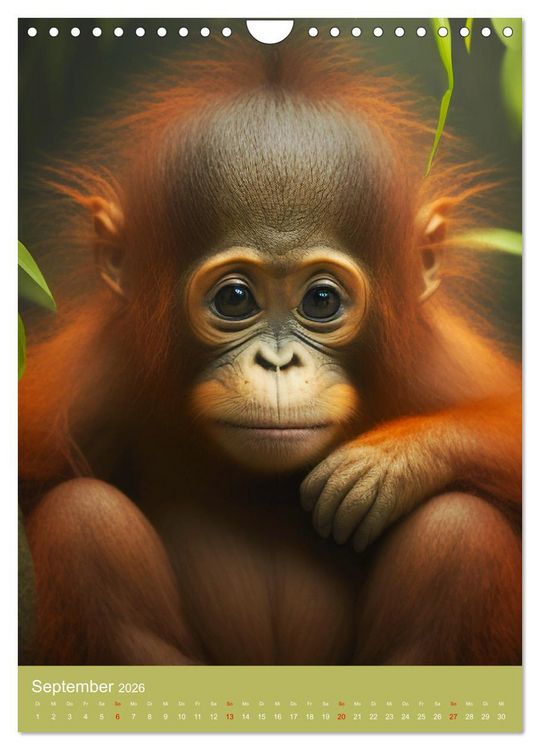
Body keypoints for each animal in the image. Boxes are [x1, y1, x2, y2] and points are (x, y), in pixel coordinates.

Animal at [19, 39, 521, 666]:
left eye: (321, 300)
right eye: (234, 299)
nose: (278, 363)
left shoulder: (437, 361)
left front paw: (391, 460)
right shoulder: (93, 375)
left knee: (458, 526)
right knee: (83, 518)